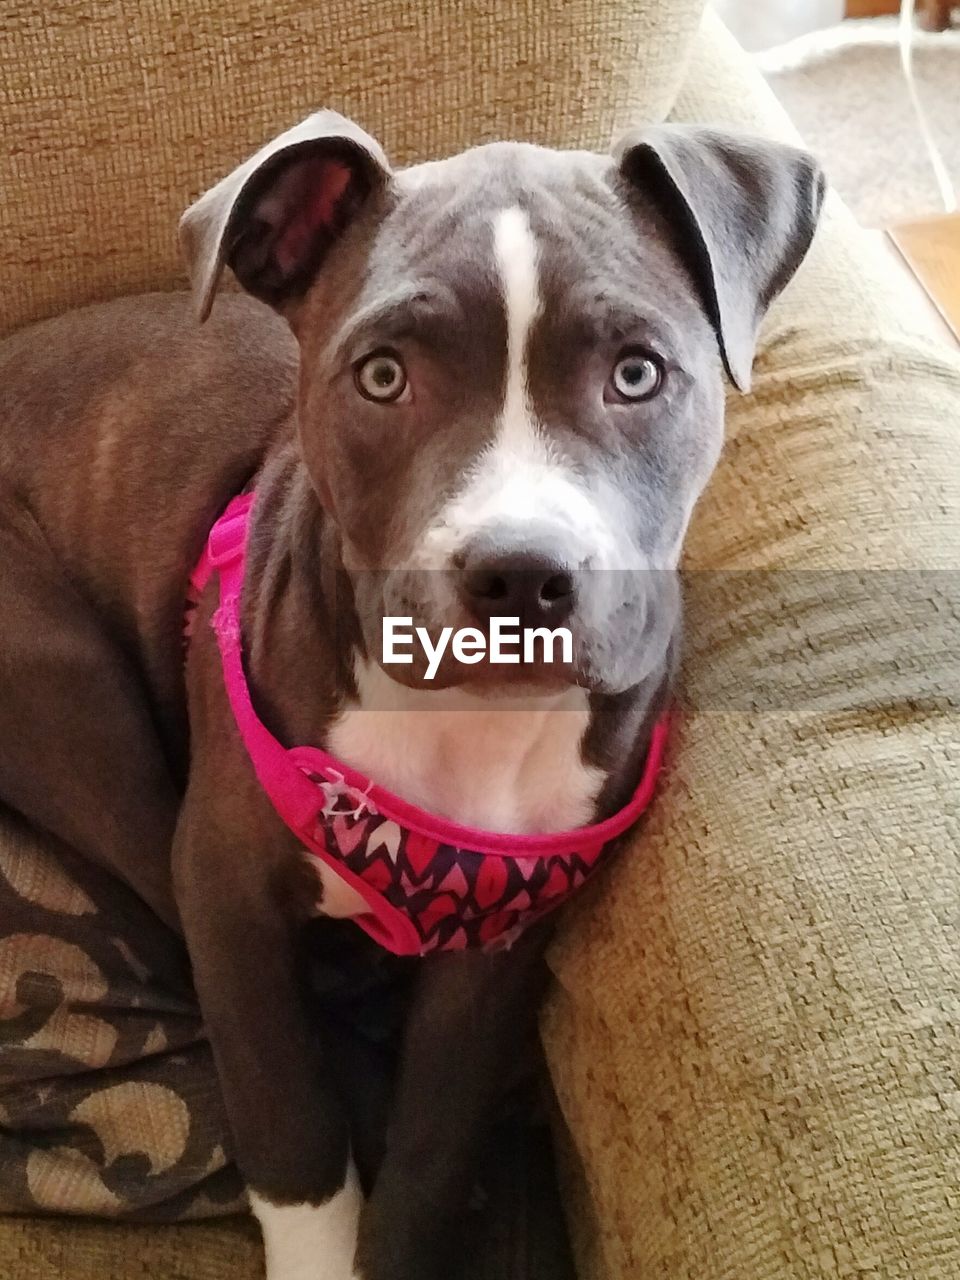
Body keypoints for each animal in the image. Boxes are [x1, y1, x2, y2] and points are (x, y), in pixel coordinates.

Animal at [0, 112, 829, 1280]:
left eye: (637, 373)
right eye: (383, 376)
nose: (521, 573)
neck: (469, 727)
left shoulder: (498, 947)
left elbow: (433, 1143)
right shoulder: (226, 885)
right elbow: (286, 1107)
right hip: (72, 696)